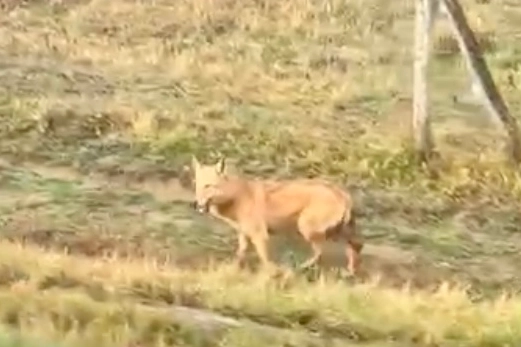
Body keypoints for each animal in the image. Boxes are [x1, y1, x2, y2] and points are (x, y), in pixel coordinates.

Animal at [189, 156, 364, 276]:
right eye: (197, 186)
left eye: (208, 186)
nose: (195, 204)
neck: (236, 196)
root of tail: (342, 193)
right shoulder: (244, 235)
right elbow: (240, 256)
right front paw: (234, 270)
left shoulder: (260, 236)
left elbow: (265, 261)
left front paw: (271, 274)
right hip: (337, 233)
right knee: (354, 247)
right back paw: (350, 272)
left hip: (307, 229)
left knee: (321, 253)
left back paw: (301, 268)